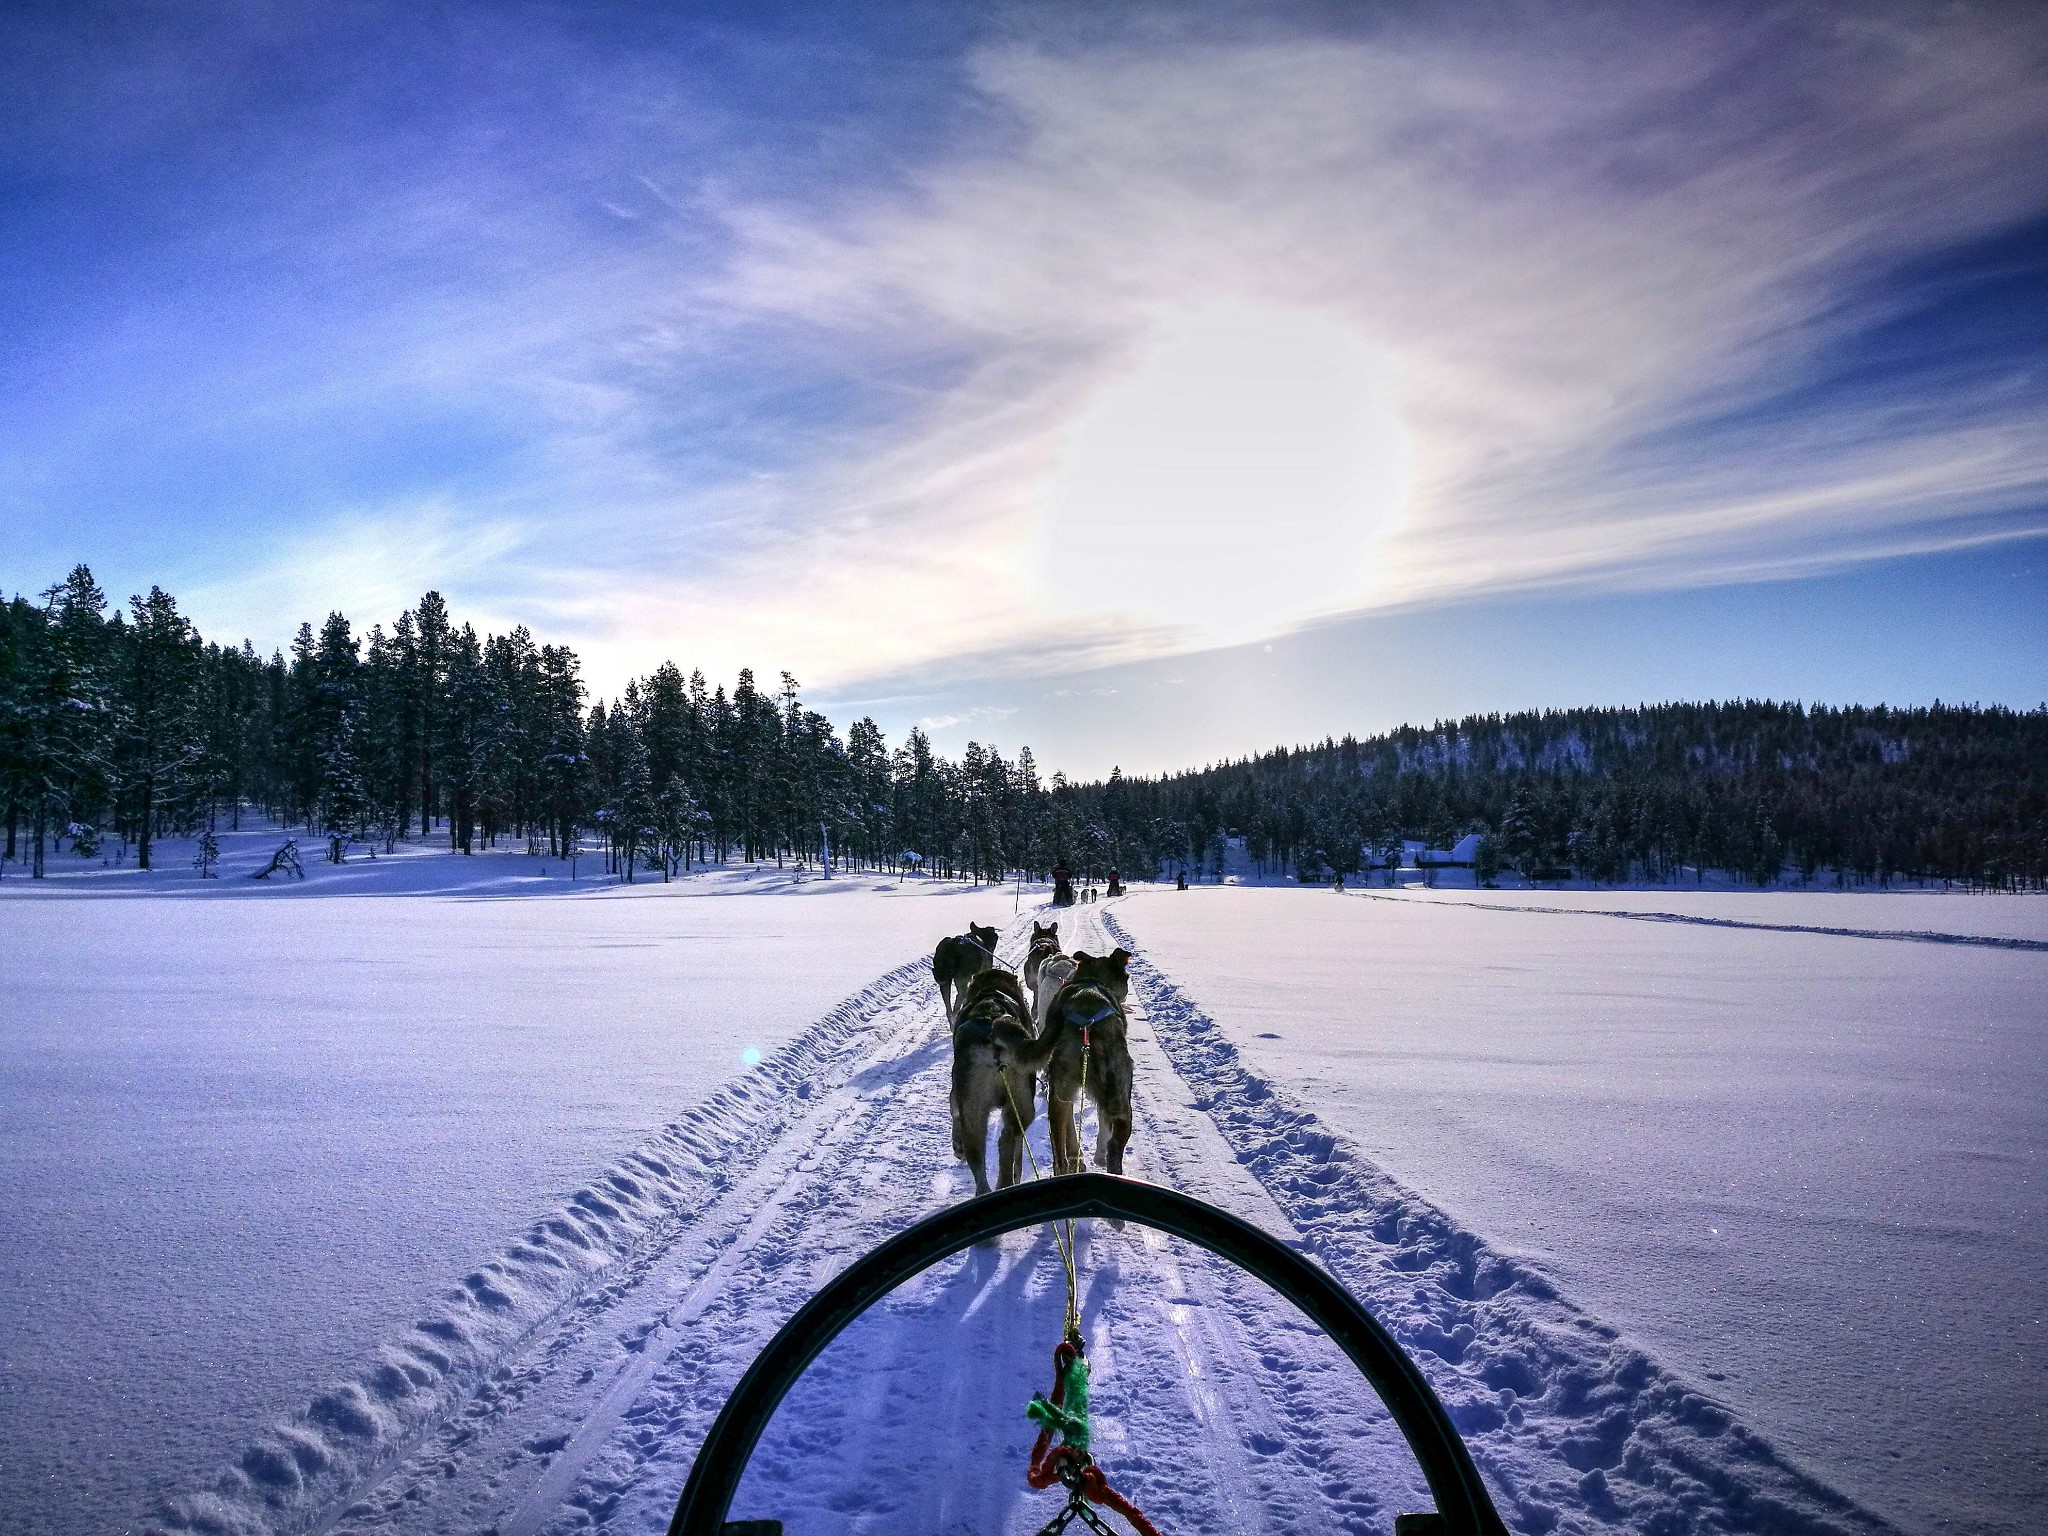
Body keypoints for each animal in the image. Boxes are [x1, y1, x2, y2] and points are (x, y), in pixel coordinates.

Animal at [946, 966, 1040, 1196]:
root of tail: (993, 1024)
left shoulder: (956, 1097)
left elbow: (954, 1112)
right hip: (1020, 1104)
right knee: (1008, 1137)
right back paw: (1003, 1182)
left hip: (975, 1109)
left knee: (983, 1153)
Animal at [995, 950, 1138, 1179]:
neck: (1091, 980)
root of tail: (1090, 1029)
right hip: (1110, 1100)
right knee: (1102, 1146)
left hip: (1076, 1097)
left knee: (1070, 1151)